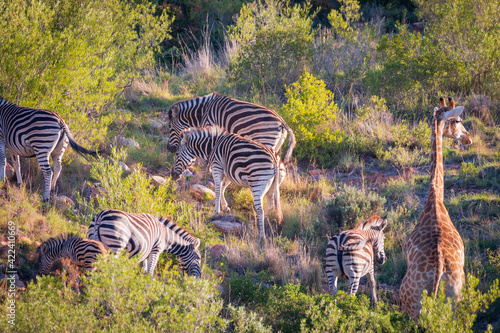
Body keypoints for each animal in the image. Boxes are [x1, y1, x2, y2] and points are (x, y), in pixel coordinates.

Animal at [166, 91, 294, 164]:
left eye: (170, 127)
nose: (169, 149)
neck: (203, 110)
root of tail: (282, 121)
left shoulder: (210, 125)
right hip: (276, 144)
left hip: (265, 141)